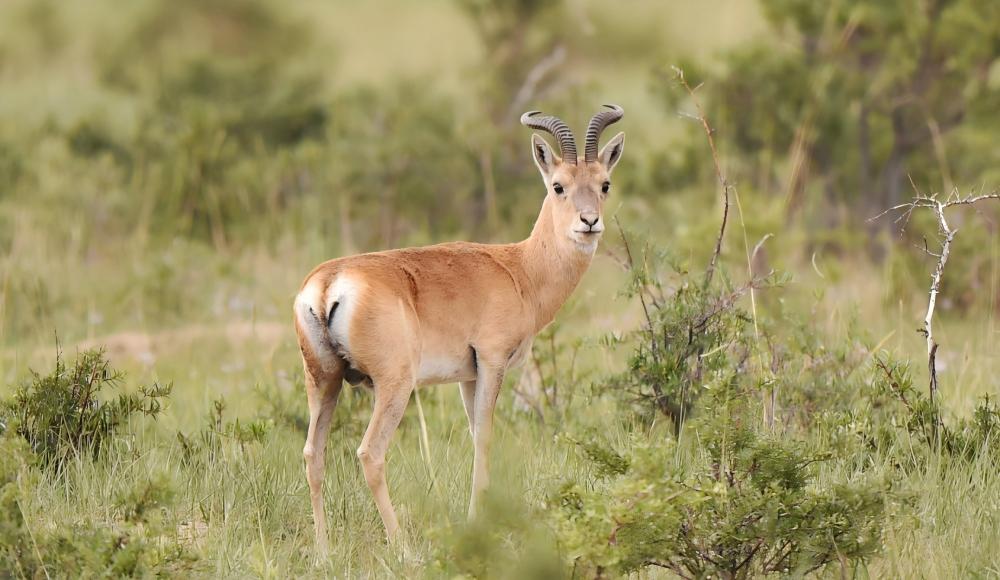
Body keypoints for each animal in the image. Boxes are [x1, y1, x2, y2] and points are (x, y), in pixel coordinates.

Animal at [293, 105, 625, 549]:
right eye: (558, 186)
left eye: (604, 183)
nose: (589, 223)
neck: (518, 269)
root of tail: (328, 282)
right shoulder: (493, 362)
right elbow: (485, 437)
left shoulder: (468, 375)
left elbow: (473, 435)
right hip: (394, 386)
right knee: (370, 454)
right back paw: (403, 548)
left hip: (323, 383)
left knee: (314, 455)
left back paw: (324, 552)